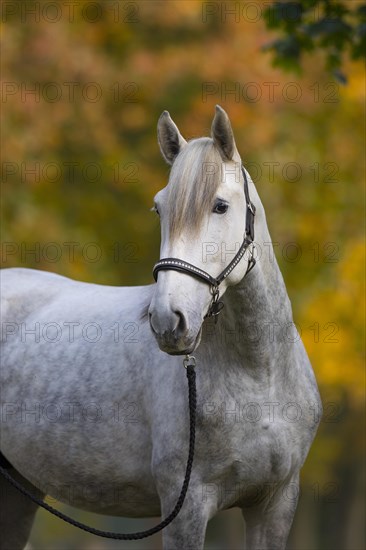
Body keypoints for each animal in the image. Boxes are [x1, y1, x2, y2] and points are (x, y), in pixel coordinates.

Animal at [0, 105, 320, 548]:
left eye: (220, 206)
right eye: (159, 209)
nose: (169, 320)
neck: (260, 376)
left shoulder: (276, 503)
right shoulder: (186, 507)